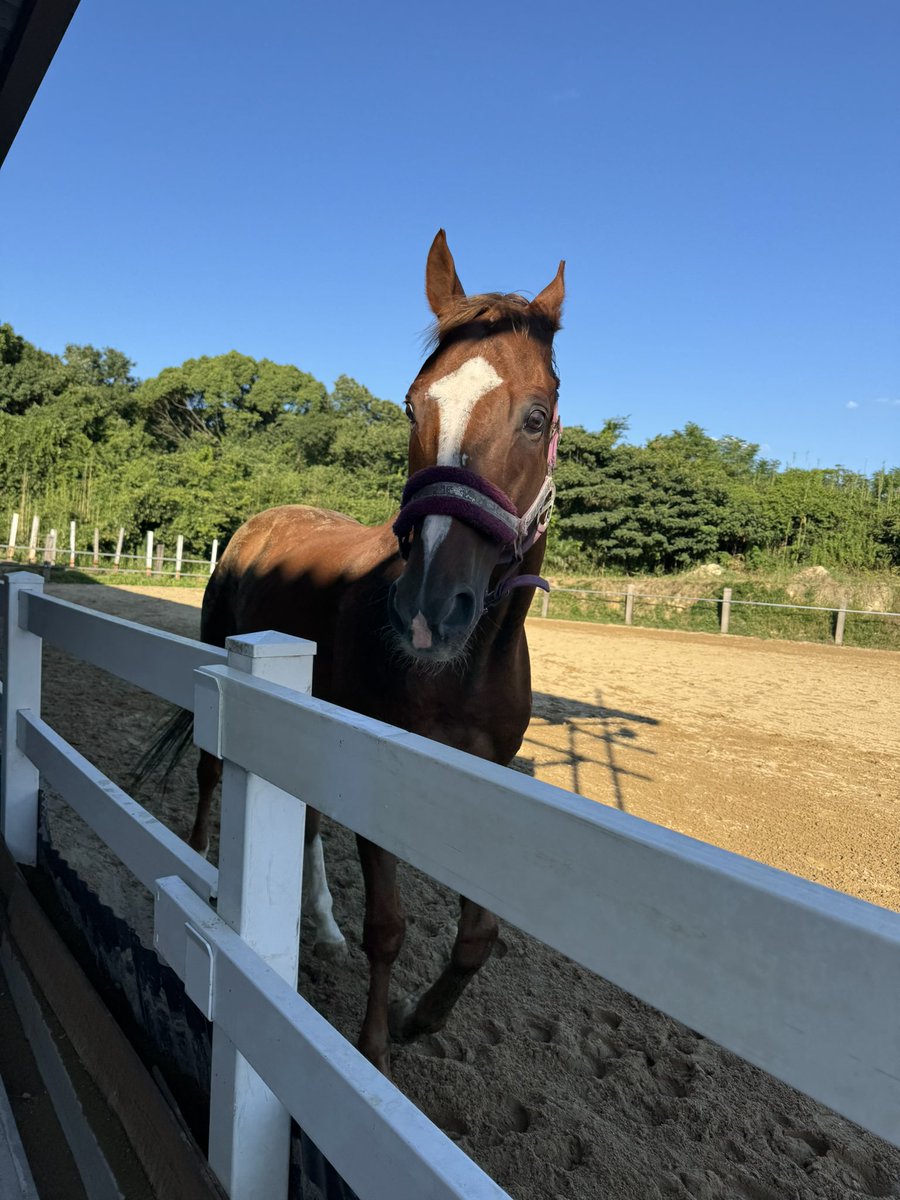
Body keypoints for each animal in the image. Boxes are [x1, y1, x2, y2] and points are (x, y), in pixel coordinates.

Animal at [163, 231, 564, 1075]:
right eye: (415, 404)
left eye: (535, 417)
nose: (428, 609)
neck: (461, 668)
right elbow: (390, 927)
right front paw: (375, 1048)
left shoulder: (483, 777)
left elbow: (478, 935)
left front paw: (421, 1017)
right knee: (213, 775)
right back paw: (203, 855)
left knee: (309, 818)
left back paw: (319, 923)